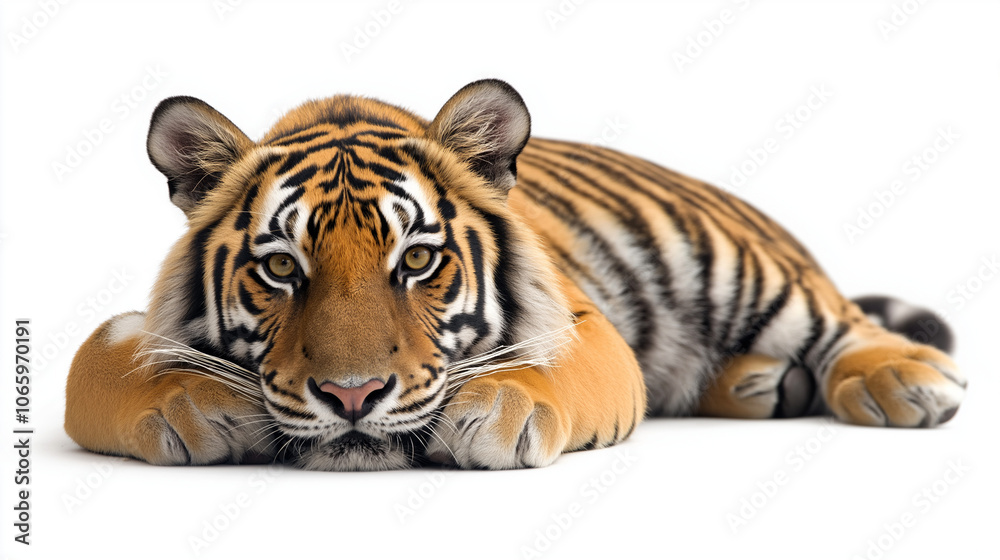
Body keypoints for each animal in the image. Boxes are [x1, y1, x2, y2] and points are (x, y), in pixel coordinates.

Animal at [64, 79, 966, 471]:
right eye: (282, 268)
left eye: (418, 260)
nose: (354, 398)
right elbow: (93, 362)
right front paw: (190, 404)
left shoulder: (583, 323)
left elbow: (549, 369)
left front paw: (499, 409)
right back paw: (759, 384)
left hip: (740, 266)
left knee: (846, 326)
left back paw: (904, 383)